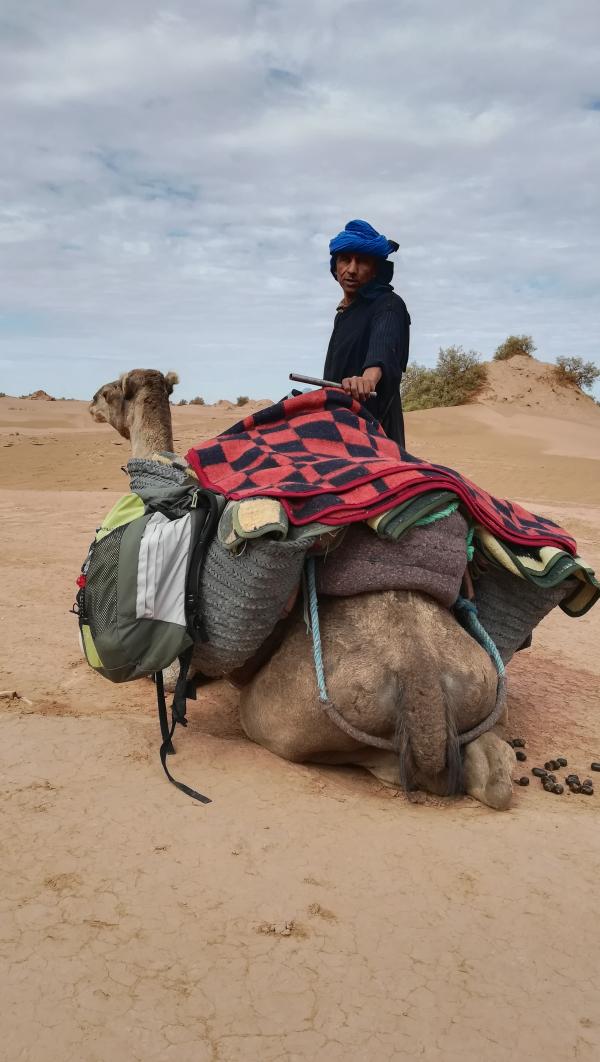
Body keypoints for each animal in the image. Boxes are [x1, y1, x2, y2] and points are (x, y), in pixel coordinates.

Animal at [88, 369, 513, 807]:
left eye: (108, 392)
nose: (89, 405)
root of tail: (420, 679)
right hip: (480, 684)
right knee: (491, 770)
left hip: (282, 715)